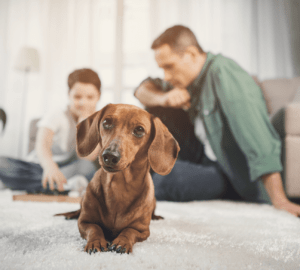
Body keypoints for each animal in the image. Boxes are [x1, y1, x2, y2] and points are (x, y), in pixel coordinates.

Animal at [55, 103, 179, 253]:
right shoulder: (85, 223)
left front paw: (122, 241)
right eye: (106, 123)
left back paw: (156, 217)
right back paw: (71, 214)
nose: (109, 156)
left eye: (139, 130)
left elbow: (129, 231)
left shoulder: (142, 230)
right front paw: (95, 242)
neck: (119, 187)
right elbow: (94, 229)